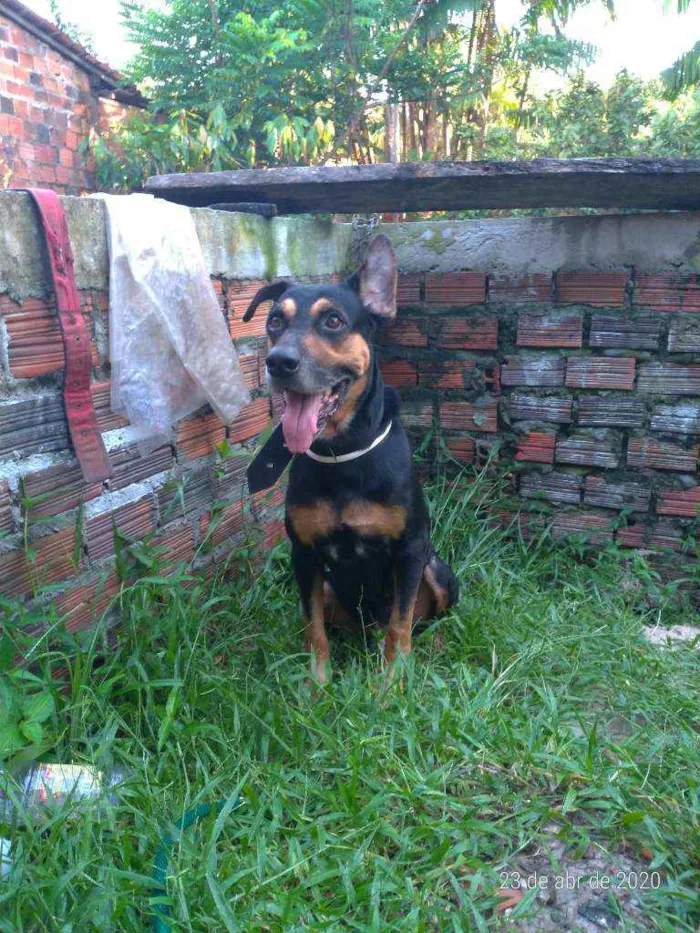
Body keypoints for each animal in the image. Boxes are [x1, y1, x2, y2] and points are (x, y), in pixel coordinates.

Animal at [246, 237, 460, 680]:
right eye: (274, 322)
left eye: (333, 321)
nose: (279, 362)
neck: (342, 454)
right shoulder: (304, 554)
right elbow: (313, 628)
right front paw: (317, 684)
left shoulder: (410, 550)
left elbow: (400, 627)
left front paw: (393, 683)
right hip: (332, 588)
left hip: (437, 571)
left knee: (421, 619)